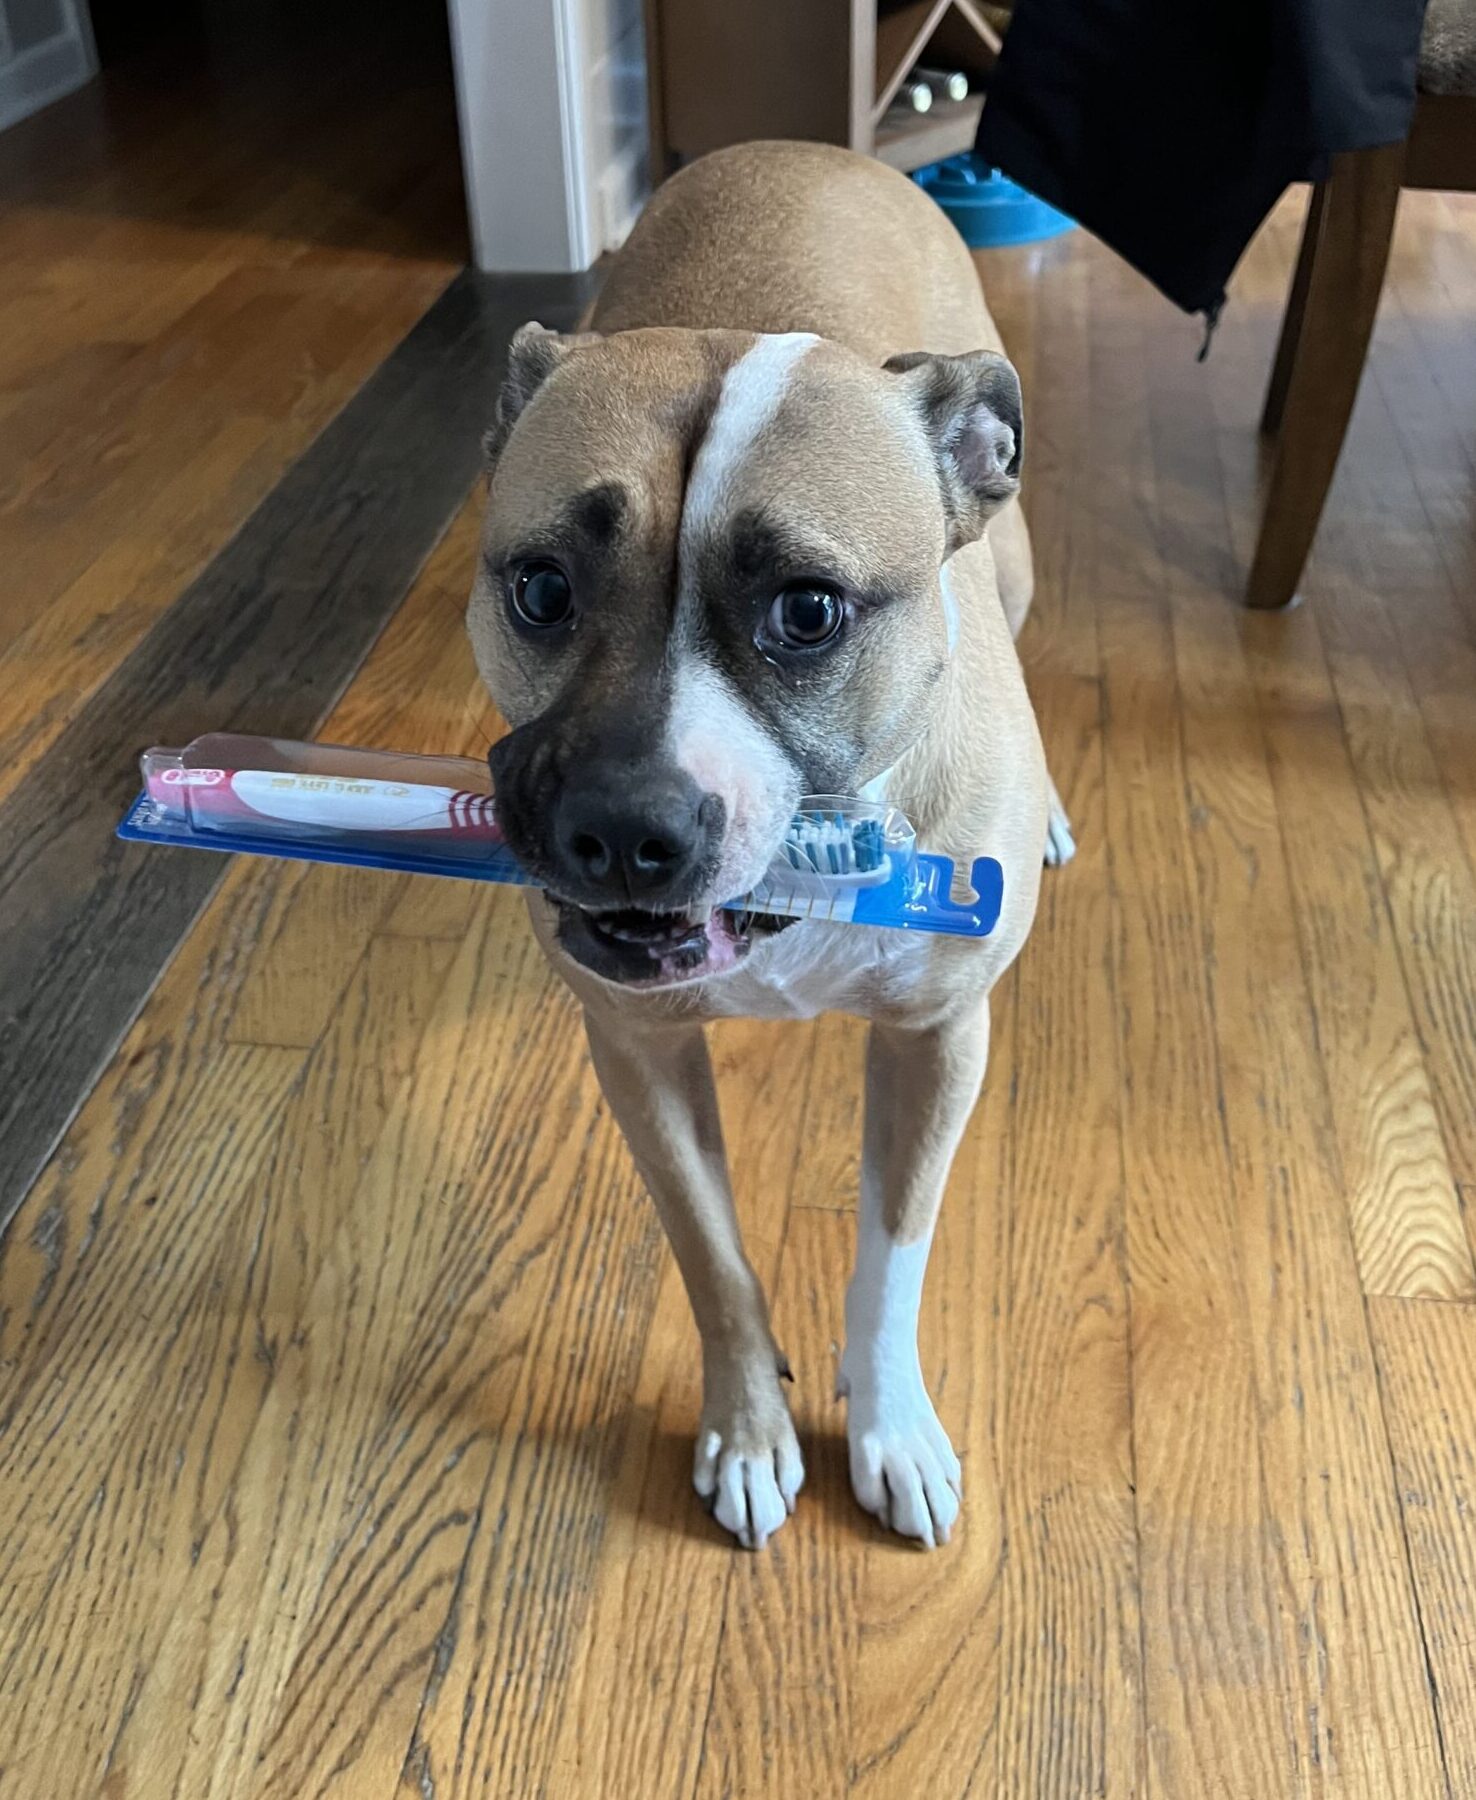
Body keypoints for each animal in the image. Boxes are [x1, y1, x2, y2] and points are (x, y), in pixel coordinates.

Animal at [468, 140, 1065, 1548]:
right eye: (541, 589)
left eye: (809, 612)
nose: (621, 826)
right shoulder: (637, 1052)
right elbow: (716, 1259)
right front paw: (747, 1430)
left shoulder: (938, 1042)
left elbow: (890, 1263)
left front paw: (891, 1429)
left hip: (1017, 560)